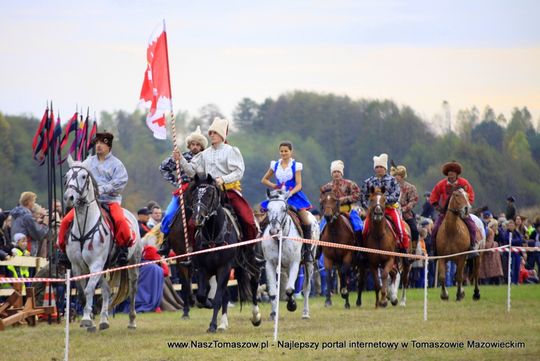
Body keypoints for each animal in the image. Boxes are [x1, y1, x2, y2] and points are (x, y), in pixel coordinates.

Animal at [63, 156, 141, 330]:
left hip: (132, 263)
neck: (84, 228)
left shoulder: (96, 265)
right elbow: (82, 292)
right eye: (67, 175)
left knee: (132, 289)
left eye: (83, 176)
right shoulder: (77, 267)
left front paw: (86, 319)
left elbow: (89, 290)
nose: (69, 197)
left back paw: (132, 321)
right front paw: (89, 319)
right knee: (106, 290)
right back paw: (104, 320)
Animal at [260, 188, 318, 318]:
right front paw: (273, 313)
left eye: (283, 209)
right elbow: (273, 292)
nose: (274, 231)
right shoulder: (270, 264)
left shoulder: (294, 263)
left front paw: (292, 305)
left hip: (308, 263)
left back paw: (305, 313)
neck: (280, 239)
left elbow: (290, 289)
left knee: (306, 287)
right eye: (268, 209)